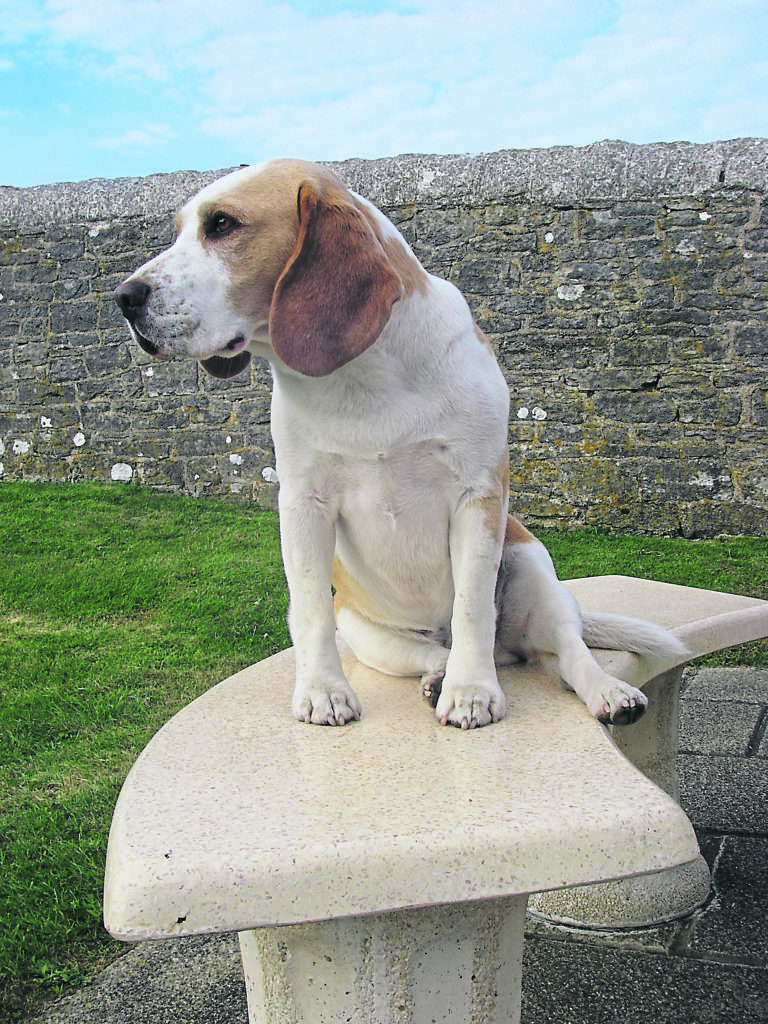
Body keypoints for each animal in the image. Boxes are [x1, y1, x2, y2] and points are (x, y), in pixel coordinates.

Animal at [114, 157, 684, 729]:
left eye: (222, 224)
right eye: (178, 230)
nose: (124, 298)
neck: (364, 376)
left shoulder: (478, 496)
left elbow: (474, 607)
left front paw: (472, 692)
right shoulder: (303, 505)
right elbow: (309, 611)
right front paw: (323, 691)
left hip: (532, 565)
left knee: (563, 652)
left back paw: (605, 691)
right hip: (366, 630)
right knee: (432, 654)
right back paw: (437, 678)